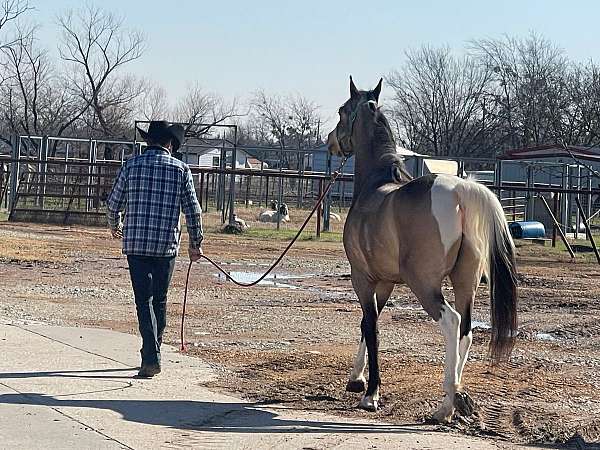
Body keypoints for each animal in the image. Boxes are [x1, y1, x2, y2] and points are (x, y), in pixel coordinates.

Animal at [326, 77, 516, 422]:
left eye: (342, 110)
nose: (331, 141)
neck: (375, 185)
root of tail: (460, 191)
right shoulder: (385, 282)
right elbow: (366, 324)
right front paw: (356, 379)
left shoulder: (363, 279)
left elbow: (371, 326)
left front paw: (370, 393)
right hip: (464, 282)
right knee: (465, 330)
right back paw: (453, 398)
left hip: (425, 285)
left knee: (451, 322)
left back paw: (447, 404)